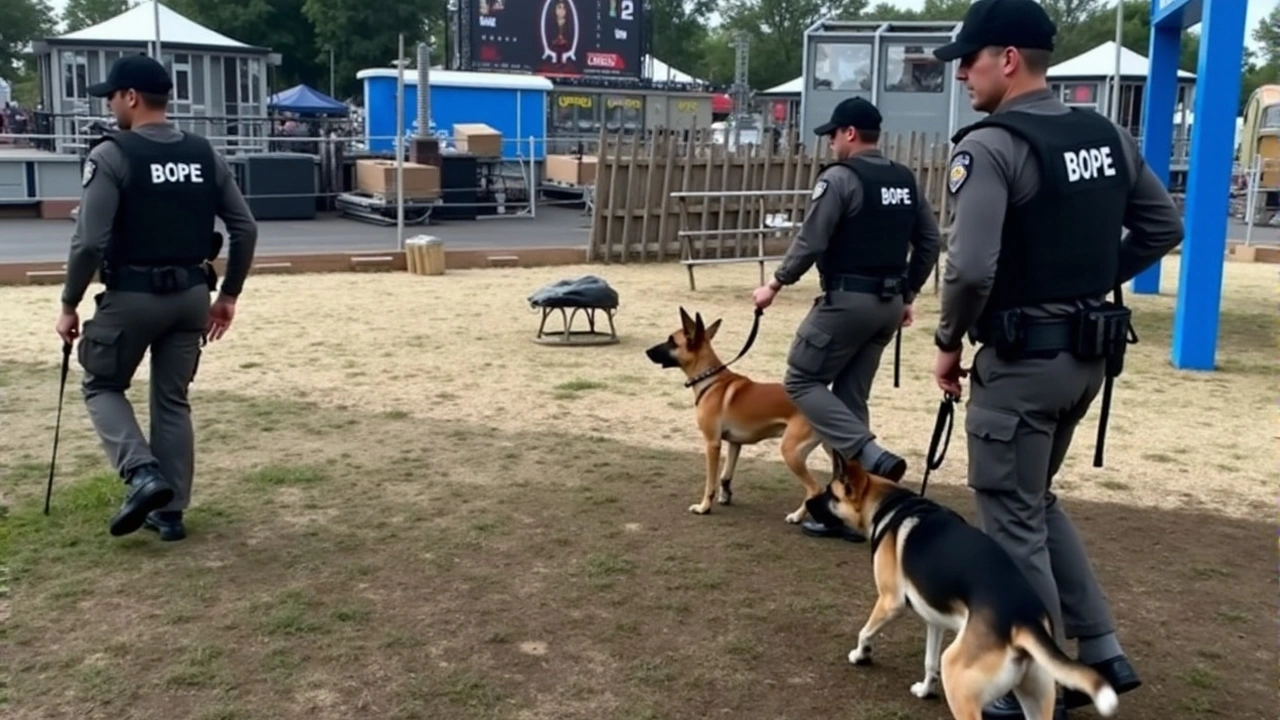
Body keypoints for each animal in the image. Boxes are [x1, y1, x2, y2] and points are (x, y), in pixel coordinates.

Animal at [645, 304, 824, 517]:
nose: (646, 351)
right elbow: (726, 475)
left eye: (671, 341)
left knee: (815, 489)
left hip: (791, 452)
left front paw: (704, 506)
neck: (710, 380)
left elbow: (710, 482)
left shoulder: (712, 444)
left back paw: (797, 516)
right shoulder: (734, 443)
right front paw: (725, 497)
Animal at [808, 453, 1121, 717]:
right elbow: (929, 662)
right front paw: (925, 690)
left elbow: (865, 631)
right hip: (1037, 696)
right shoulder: (934, 621)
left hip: (959, 679)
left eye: (829, 493)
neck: (889, 505)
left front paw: (860, 655)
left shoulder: (889, 601)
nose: (808, 502)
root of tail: (1023, 620)